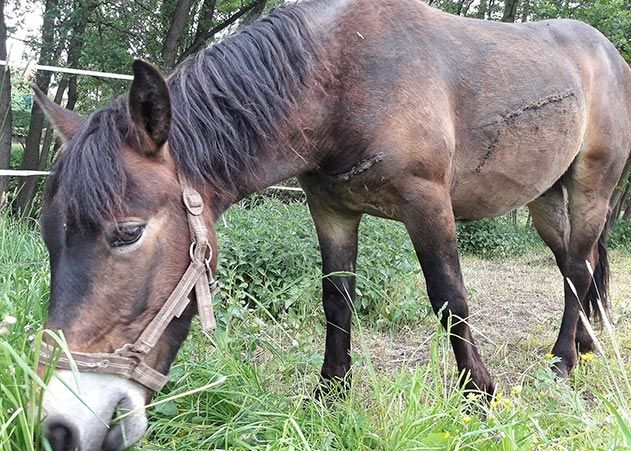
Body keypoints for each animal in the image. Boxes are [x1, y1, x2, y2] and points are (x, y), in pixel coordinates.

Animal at [34, 0, 631, 450]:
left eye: (127, 233)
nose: (65, 425)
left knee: (579, 269)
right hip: (546, 198)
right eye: (48, 240)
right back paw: (583, 346)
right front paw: (331, 394)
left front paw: (478, 397)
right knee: (576, 265)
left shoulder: (427, 202)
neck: (338, 74)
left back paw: (563, 361)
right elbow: (337, 300)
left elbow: (450, 299)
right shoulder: (331, 209)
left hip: (590, 188)